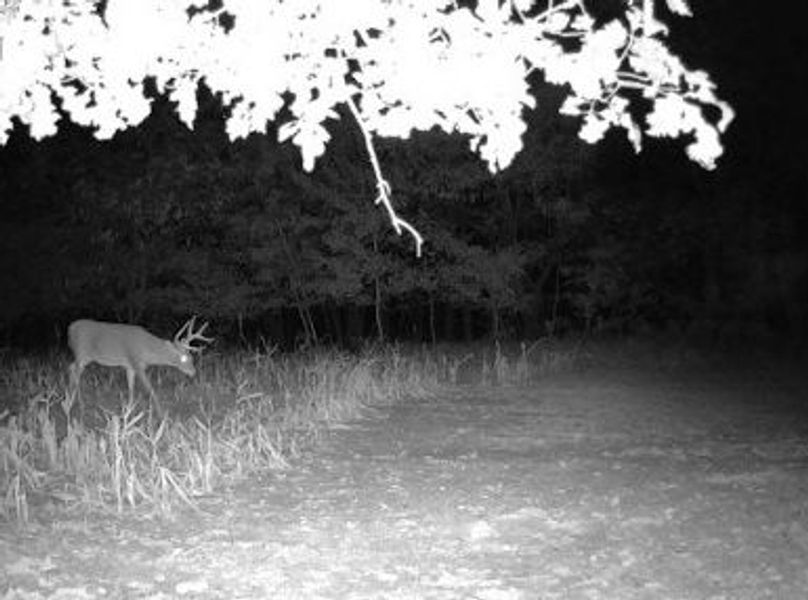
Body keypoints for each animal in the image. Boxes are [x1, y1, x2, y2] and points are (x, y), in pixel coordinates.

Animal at [67, 316, 212, 418]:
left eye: (192, 358)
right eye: (184, 358)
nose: (193, 372)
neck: (148, 350)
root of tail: (70, 328)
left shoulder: (130, 365)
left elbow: (131, 388)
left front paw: (129, 411)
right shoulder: (137, 363)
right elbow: (150, 389)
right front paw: (161, 414)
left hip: (84, 357)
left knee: (71, 368)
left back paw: (72, 401)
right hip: (82, 353)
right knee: (75, 371)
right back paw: (76, 405)